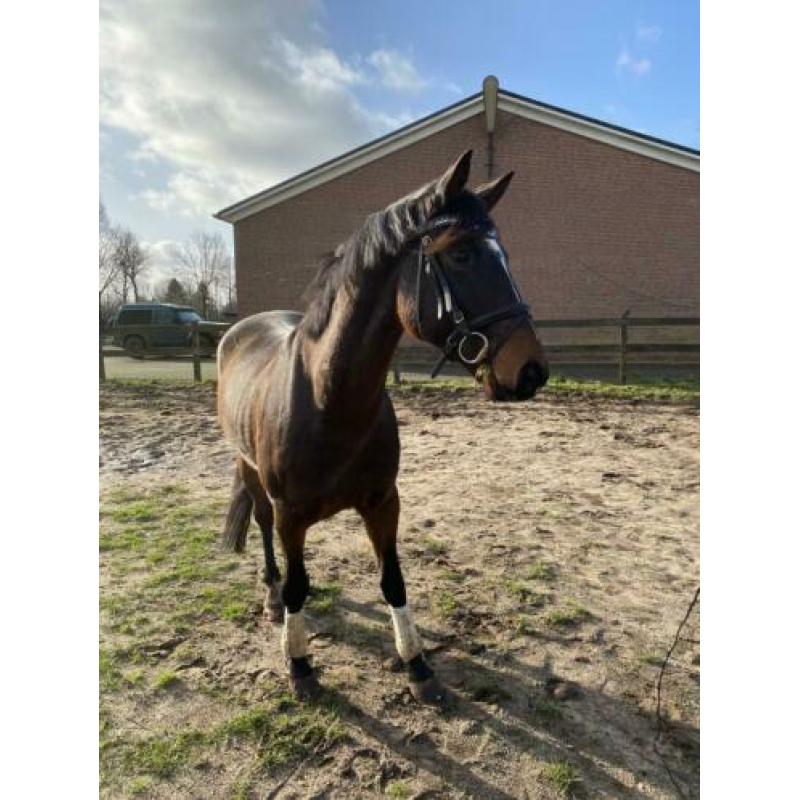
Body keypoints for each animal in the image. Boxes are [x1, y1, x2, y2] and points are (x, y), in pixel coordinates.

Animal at [216, 150, 549, 704]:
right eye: (461, 254)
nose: (531, 371)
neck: (330, 402)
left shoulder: (383, 502)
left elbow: (393, 580)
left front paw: (417, 665)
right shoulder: (290, 514)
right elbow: (299, 586)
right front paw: (300, 665)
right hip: (251, 474)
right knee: (263, 531)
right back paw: (270, 599)